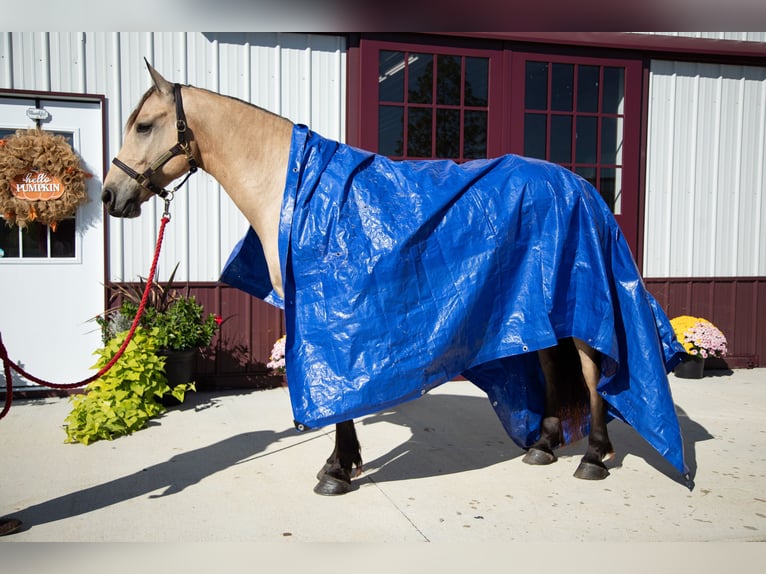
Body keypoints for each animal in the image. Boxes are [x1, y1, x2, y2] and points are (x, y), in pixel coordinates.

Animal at [102, 62, 686, 496]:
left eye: (144, 125)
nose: (110, 195)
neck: (291, 189)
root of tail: (583, 187)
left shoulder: (334, 327)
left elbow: (340, 402)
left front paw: (337, 470)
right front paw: (343, 463)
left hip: (580, 303)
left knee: (591, 369)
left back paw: (594, 456)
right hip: (536, 301)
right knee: (545, 360)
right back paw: (543, 446)